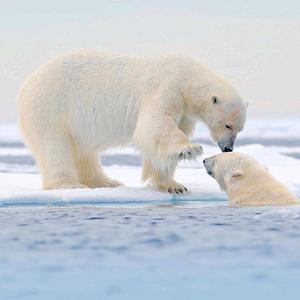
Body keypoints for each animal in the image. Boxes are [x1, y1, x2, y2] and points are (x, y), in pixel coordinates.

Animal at [18, 50, 246, 193]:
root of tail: (27, 85)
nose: (227, 149)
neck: (185, 77)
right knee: (55, 147)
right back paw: (70, 185)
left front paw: (173, 185)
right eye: (227, 124)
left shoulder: (184, 111)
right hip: (52, 107)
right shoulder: (166, 89)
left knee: (84, 153)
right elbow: (156, 126)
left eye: (239, 129)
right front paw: (189, 149)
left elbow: (162, 143)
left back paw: (107, 182)